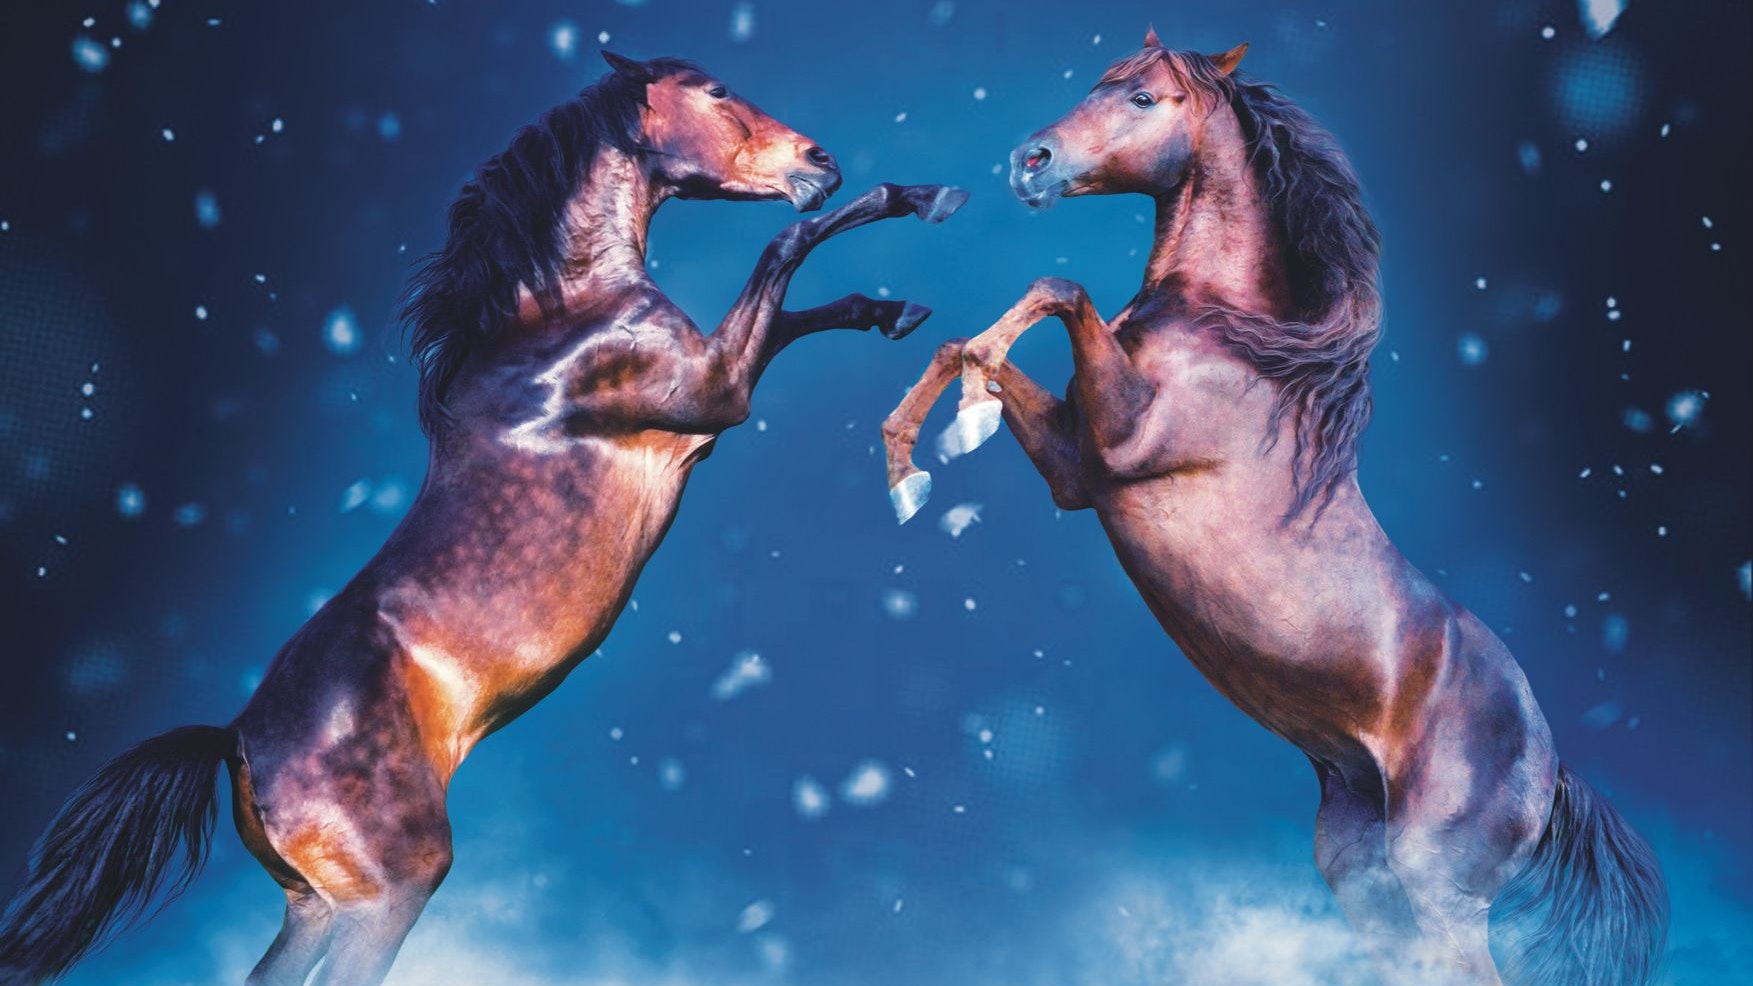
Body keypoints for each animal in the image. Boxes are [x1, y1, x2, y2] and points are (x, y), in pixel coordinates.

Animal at [0, 50, 965, 986]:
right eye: (716, 90)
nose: (819, 161)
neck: (555, 318)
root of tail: (236, 740)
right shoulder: (713, 390)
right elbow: (785, 246)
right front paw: (921, 196)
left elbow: (802, 302)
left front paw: (895, 306)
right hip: (391, 893)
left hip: (312, 907)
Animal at [880, 31, 1665, 986]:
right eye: (1100, 83)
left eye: (1143, 98)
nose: (1029, 163)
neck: (1229, 335)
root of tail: (1550, 772)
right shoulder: (1075, 468)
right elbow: (968, 344)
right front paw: (911, 463)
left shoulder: (1122, 441)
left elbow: (1056, 287)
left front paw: (961, 420)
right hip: (1362, 874)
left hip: (1435, 884)